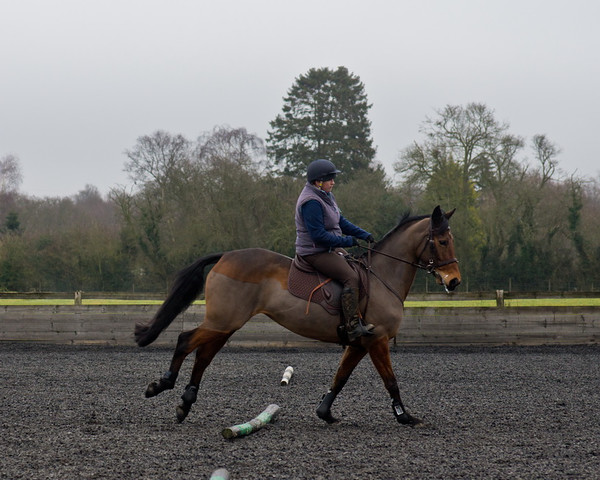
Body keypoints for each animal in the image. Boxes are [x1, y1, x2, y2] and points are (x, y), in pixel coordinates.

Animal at [136, 204, 462, 426]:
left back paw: (185, 402)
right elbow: (390, 380)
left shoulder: (360, 342)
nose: (454, 281)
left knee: (203, 355)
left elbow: (340, 377)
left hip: (225, 325)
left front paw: (325, 412)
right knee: (184, 340)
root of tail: (226, 255)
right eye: (443, 241)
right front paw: (404, 416)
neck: (382, 276)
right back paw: (162, 384)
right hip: (222, 321)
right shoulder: (377, 340)